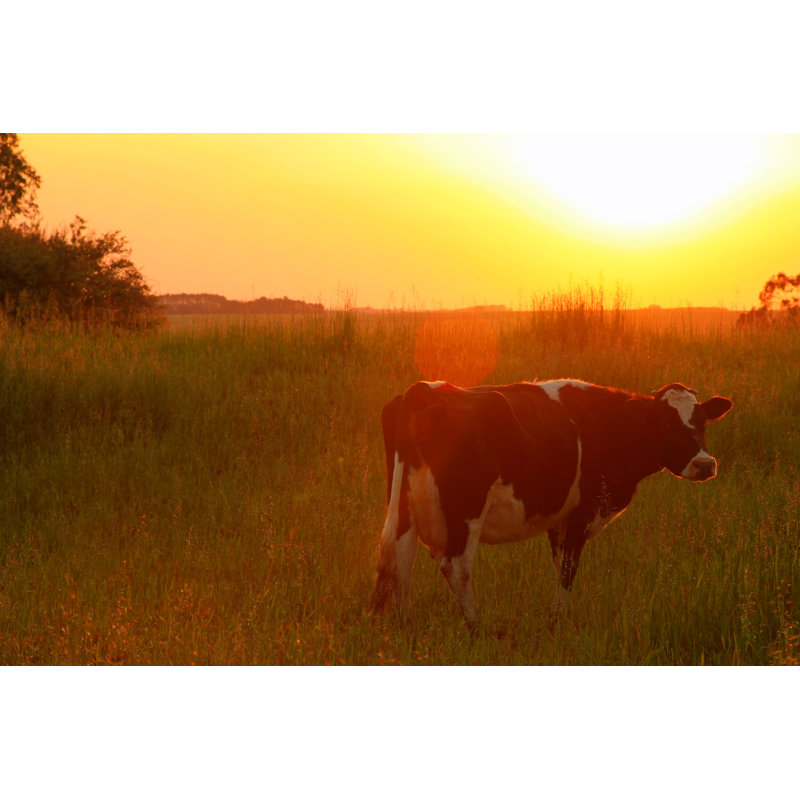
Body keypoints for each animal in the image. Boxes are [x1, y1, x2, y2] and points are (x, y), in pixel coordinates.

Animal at [368, 379, 732, 629]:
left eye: (702, 421)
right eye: (664, 422)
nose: (704, 464)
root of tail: (427, 388)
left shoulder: (560, 521)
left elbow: (559, 567)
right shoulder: (581, 512)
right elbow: (569, 569)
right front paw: (558, 622)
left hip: (403, 507)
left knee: (399, 561)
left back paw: (407, 628)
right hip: (466, 510)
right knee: (455, 566)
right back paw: (477, 628)